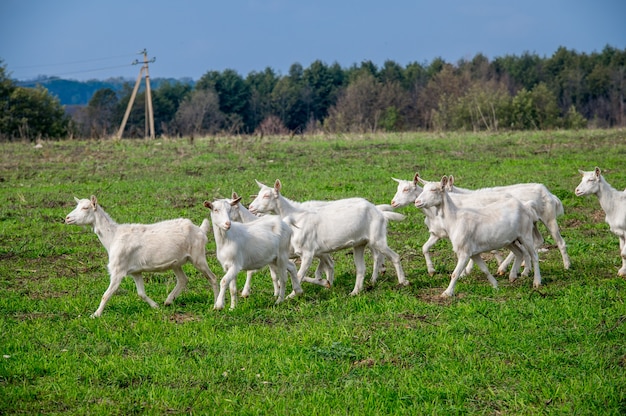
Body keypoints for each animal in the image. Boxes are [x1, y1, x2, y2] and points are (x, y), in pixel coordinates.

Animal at [64, 197, 218, 316]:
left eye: (85, 208)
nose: (67, 218)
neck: (113, 236)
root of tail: (200, 230)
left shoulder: (118, 270)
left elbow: (106, 295)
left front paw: (95, 315)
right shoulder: (135, 271)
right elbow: (141, 293)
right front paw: (155, 306)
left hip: (198, 257)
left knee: (213, 278)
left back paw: (216, 305)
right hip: (176, 262)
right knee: (183, 279)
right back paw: (168, 301)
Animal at [246, 180, 408, 294]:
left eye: (267, 195)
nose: (251, 207)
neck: (296, 217)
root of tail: (380, 212)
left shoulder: (308, 252)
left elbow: (300, 274)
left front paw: (293, 294)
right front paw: (326, 283)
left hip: (377, 238)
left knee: (393, 256)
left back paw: (402, 282)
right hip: (359, 243)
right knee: (361, 268)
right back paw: (355, 292)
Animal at [412, 177, 540, 298]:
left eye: (434, 190)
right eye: (423, 189)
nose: (417, 202)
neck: (454, 219)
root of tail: (526, 206)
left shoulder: (464, 251)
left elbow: (455, 273)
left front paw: (447, 293)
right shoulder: (474, 252)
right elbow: (484, 269)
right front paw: (495, 286)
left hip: (526, 235)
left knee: (534, 255)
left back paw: (537, 282)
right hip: (510, 240)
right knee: (519, 253)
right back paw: (512, 276)